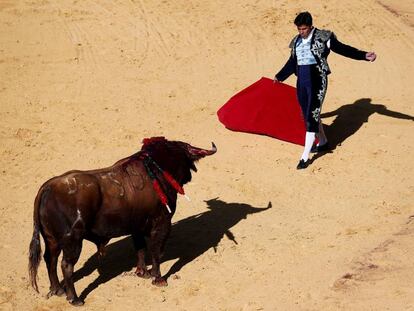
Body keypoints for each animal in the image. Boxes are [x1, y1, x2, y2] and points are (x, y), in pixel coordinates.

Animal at [28, 138, 217, 306]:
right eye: (185, 158)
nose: (189, 175)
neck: (156, 170)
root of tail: (47, 187)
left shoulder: (137, 226)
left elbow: (140, 248)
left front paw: (142, 272)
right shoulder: (162, 223)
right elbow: (156, 251)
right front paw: (158, 278)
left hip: (51, 239)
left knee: (50, 259)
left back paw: (57, 290)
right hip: (72, 240)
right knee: (66, 265)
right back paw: (74, 299)